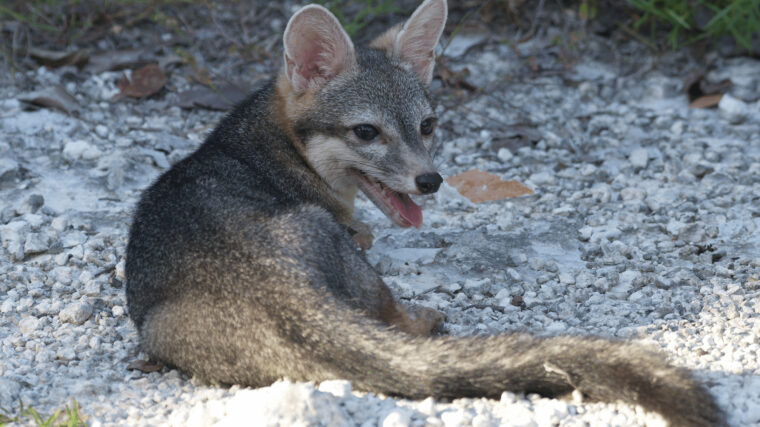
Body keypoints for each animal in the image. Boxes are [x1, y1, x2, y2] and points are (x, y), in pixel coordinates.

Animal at [125, 1, 724, 425]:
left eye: (428, 126)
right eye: (366, 132)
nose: (430, 181)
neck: (268, 146)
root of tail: (278, 291)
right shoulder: (350, 231)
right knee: (393, 316)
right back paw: (424, 320)